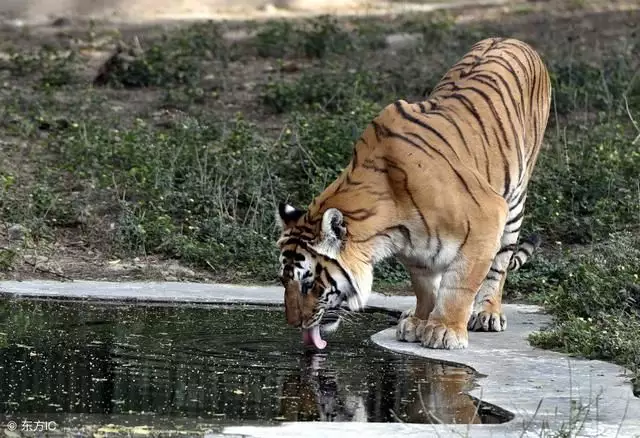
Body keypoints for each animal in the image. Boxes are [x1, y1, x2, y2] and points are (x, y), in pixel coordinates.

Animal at [276, 36, 552, 350]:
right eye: (283, 281)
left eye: (309, 284)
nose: (293, 323)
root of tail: (512, 39)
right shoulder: (415, 250)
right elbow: (426, 287)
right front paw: (419, 321)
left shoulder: (487, 218)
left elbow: (459, 284)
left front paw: (444, 330)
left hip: (514, 200)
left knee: (499, 265)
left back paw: (486, 312)